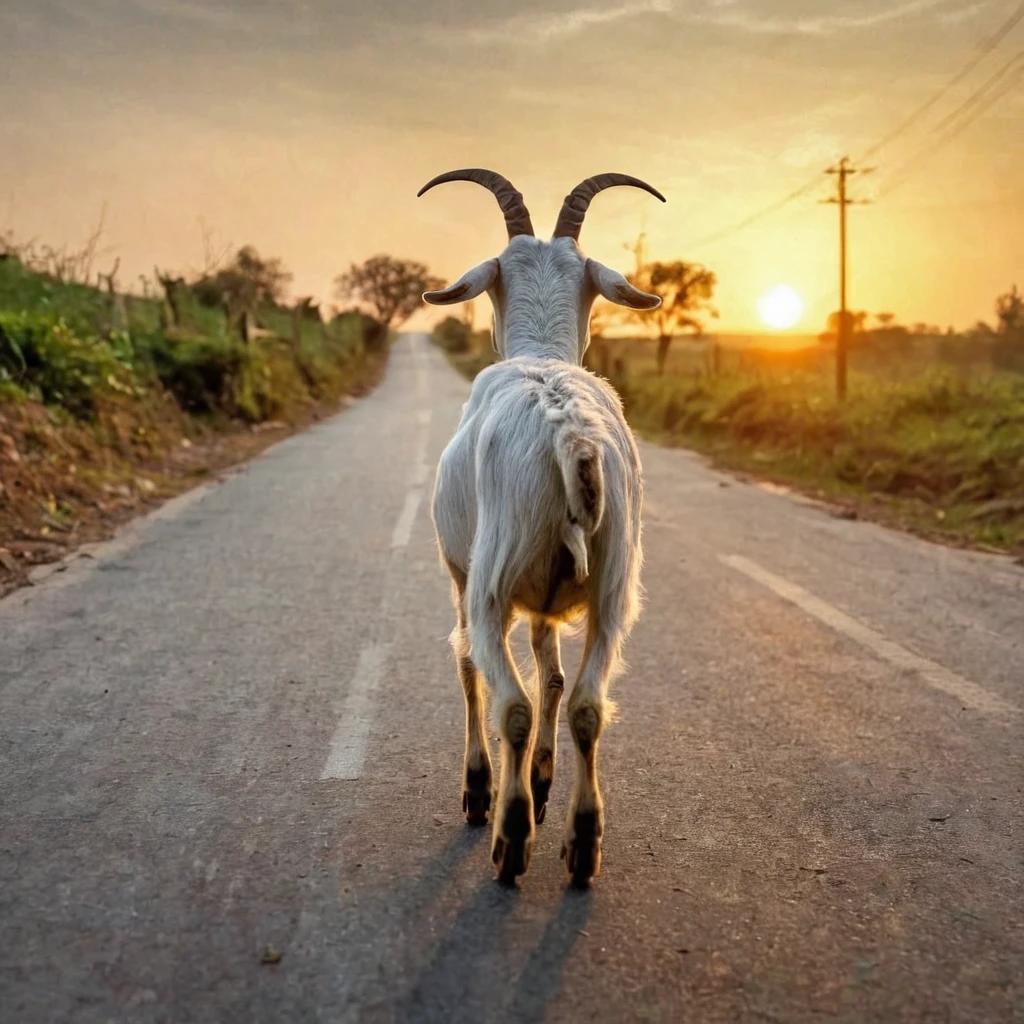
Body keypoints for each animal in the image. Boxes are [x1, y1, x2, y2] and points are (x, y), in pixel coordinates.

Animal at [417, 169, 663, 888]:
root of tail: (568, 429)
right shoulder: (552, 602)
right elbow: (554, 674)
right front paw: (546, 783)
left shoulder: (462, 573)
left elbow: (470, 666)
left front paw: (482, 791)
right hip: (613, 588)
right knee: (586, 704)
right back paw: (581, 840)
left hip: (491, 578)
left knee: (511, 702)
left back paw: (509, 832)